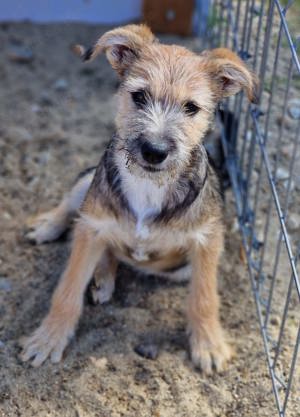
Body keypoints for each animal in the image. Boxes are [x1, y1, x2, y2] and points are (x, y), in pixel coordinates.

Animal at [19, 25, 256, 370]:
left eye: (191, 108)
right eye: (139, 96)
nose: (154, 151)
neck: (149, 185)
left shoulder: (207, 240)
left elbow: (204, 297)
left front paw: (209, 344)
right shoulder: (92, 224)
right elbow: (67, 289)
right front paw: (48, 338)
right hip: (91, 184)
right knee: (76, 209)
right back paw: (52, 230)